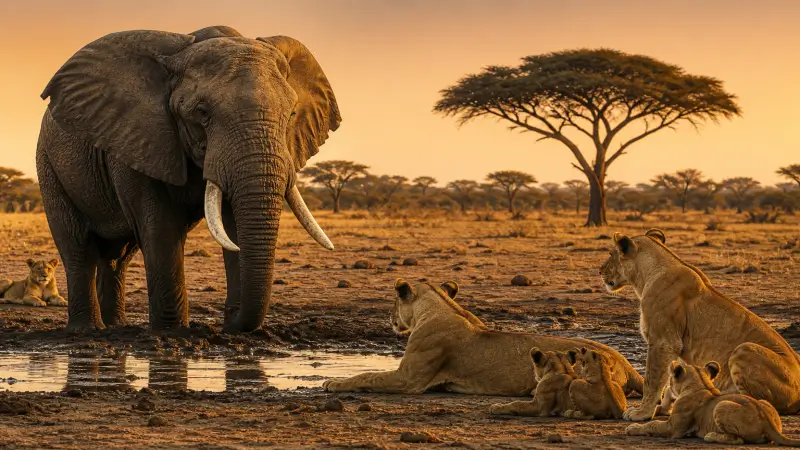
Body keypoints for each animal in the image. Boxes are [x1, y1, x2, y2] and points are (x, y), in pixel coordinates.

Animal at [36, 25, 340, 333]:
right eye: (202, 112)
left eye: (291, 113)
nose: (230, 315)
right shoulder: (136, 139)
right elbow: (160, 227)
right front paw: (172, 332)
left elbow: (232, 222)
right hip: (48, 165)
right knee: (78, 247)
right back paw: (88, 330)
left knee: (118, 257)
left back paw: (116, 327)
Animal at [322, 278, 643, 396]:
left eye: (393, 302)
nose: (389, 317)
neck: (437, 309)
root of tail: (626, 363)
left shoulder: (408, 380)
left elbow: (368, 375)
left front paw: (332, 383)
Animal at [601, 228, 800, 421]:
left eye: (611, 253)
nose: (599, 271)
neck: (646, 276)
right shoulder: (676, 345)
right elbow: (671, 381)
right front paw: (663, 408)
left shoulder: (662, 341)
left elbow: (652, 380)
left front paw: (642, 413)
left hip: (744, 348)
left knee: (761, 403)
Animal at [626, 360, 800, 446]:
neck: (701, 384)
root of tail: (768, 423)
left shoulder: (673, 429)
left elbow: (652, 424)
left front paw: (633, 427)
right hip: (763, 401)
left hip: (721, 406)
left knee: (738, 440)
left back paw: (710, 436)